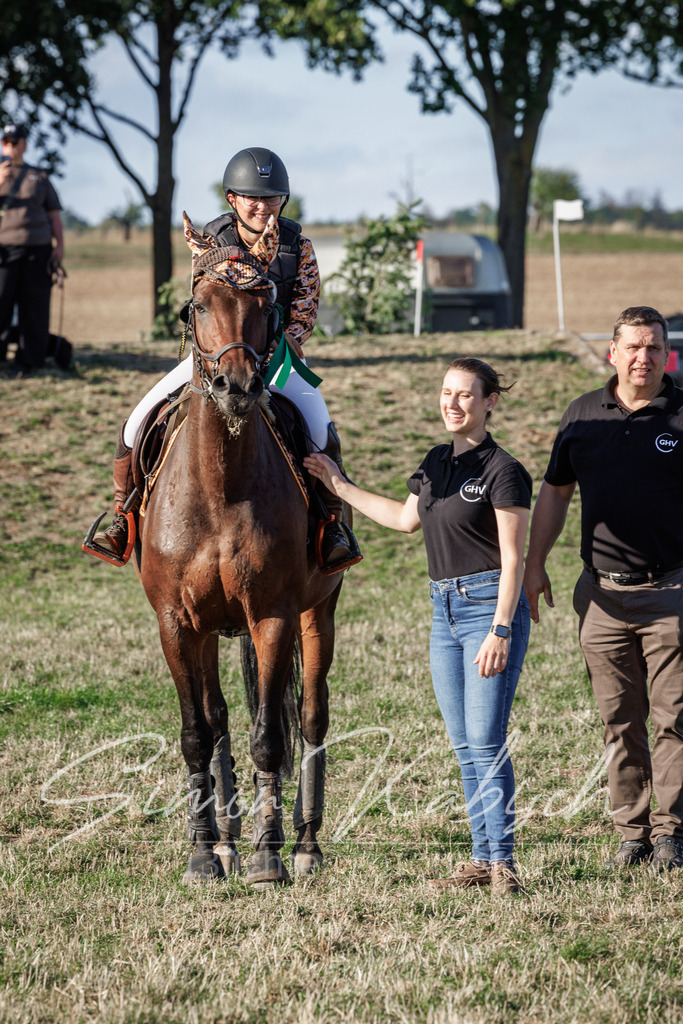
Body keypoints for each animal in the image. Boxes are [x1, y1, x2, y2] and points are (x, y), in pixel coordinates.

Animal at [135, 214, 344, 886]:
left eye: (264, 306)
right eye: (199, 304)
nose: (237, 386)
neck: (220, 486)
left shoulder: (272, 616)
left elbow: (270, 739)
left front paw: (269, 856)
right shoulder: (176, 623)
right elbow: (199, 733)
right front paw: (205, 852)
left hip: (318, 614)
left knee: (310, 715)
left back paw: (305, 845)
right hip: (207, 632)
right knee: (221, 718)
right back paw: (226, 839)